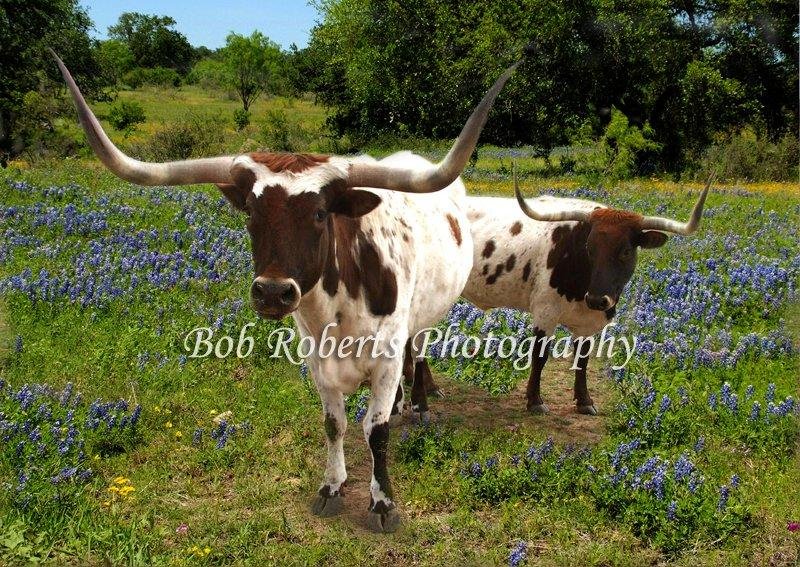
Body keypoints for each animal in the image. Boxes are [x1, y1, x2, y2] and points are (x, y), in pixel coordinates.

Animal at [51, 49, 522, 532]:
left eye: (319, 213)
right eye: (251, 212)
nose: (273, 292)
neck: (338, 309)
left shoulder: (386, 356)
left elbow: (376, 432)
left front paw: (383, 503)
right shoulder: (315, 359)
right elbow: (334, 424)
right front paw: (332, 487)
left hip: (426, 317)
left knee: (420, 350)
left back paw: (421, 404)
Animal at [410, 171, 712, 418]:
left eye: (626, 251)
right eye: (589, 247)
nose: (597, 299)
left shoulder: (590, 322)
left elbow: (583, 360)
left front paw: (584, 401)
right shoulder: (546, 311)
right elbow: (540, 355)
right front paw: (534, 400)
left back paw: (427, 388)